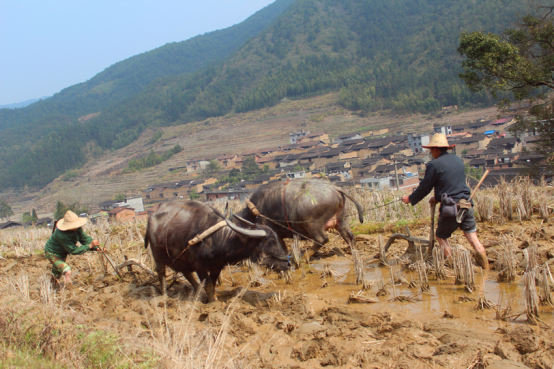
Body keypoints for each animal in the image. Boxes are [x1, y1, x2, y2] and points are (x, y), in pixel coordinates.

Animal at [142, 201, 288, 302]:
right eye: (271, 242)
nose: (288, 263)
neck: (215, 239)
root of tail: (151, 218)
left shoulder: (217, 267)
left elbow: (211, 285)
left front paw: (213, 299)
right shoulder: (199, 266)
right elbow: (207, 285)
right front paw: (213, 303)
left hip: (181, 260)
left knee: (187, 273)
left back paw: (196, 292)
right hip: (157, 256)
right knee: (161, 273)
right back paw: (164, 294)